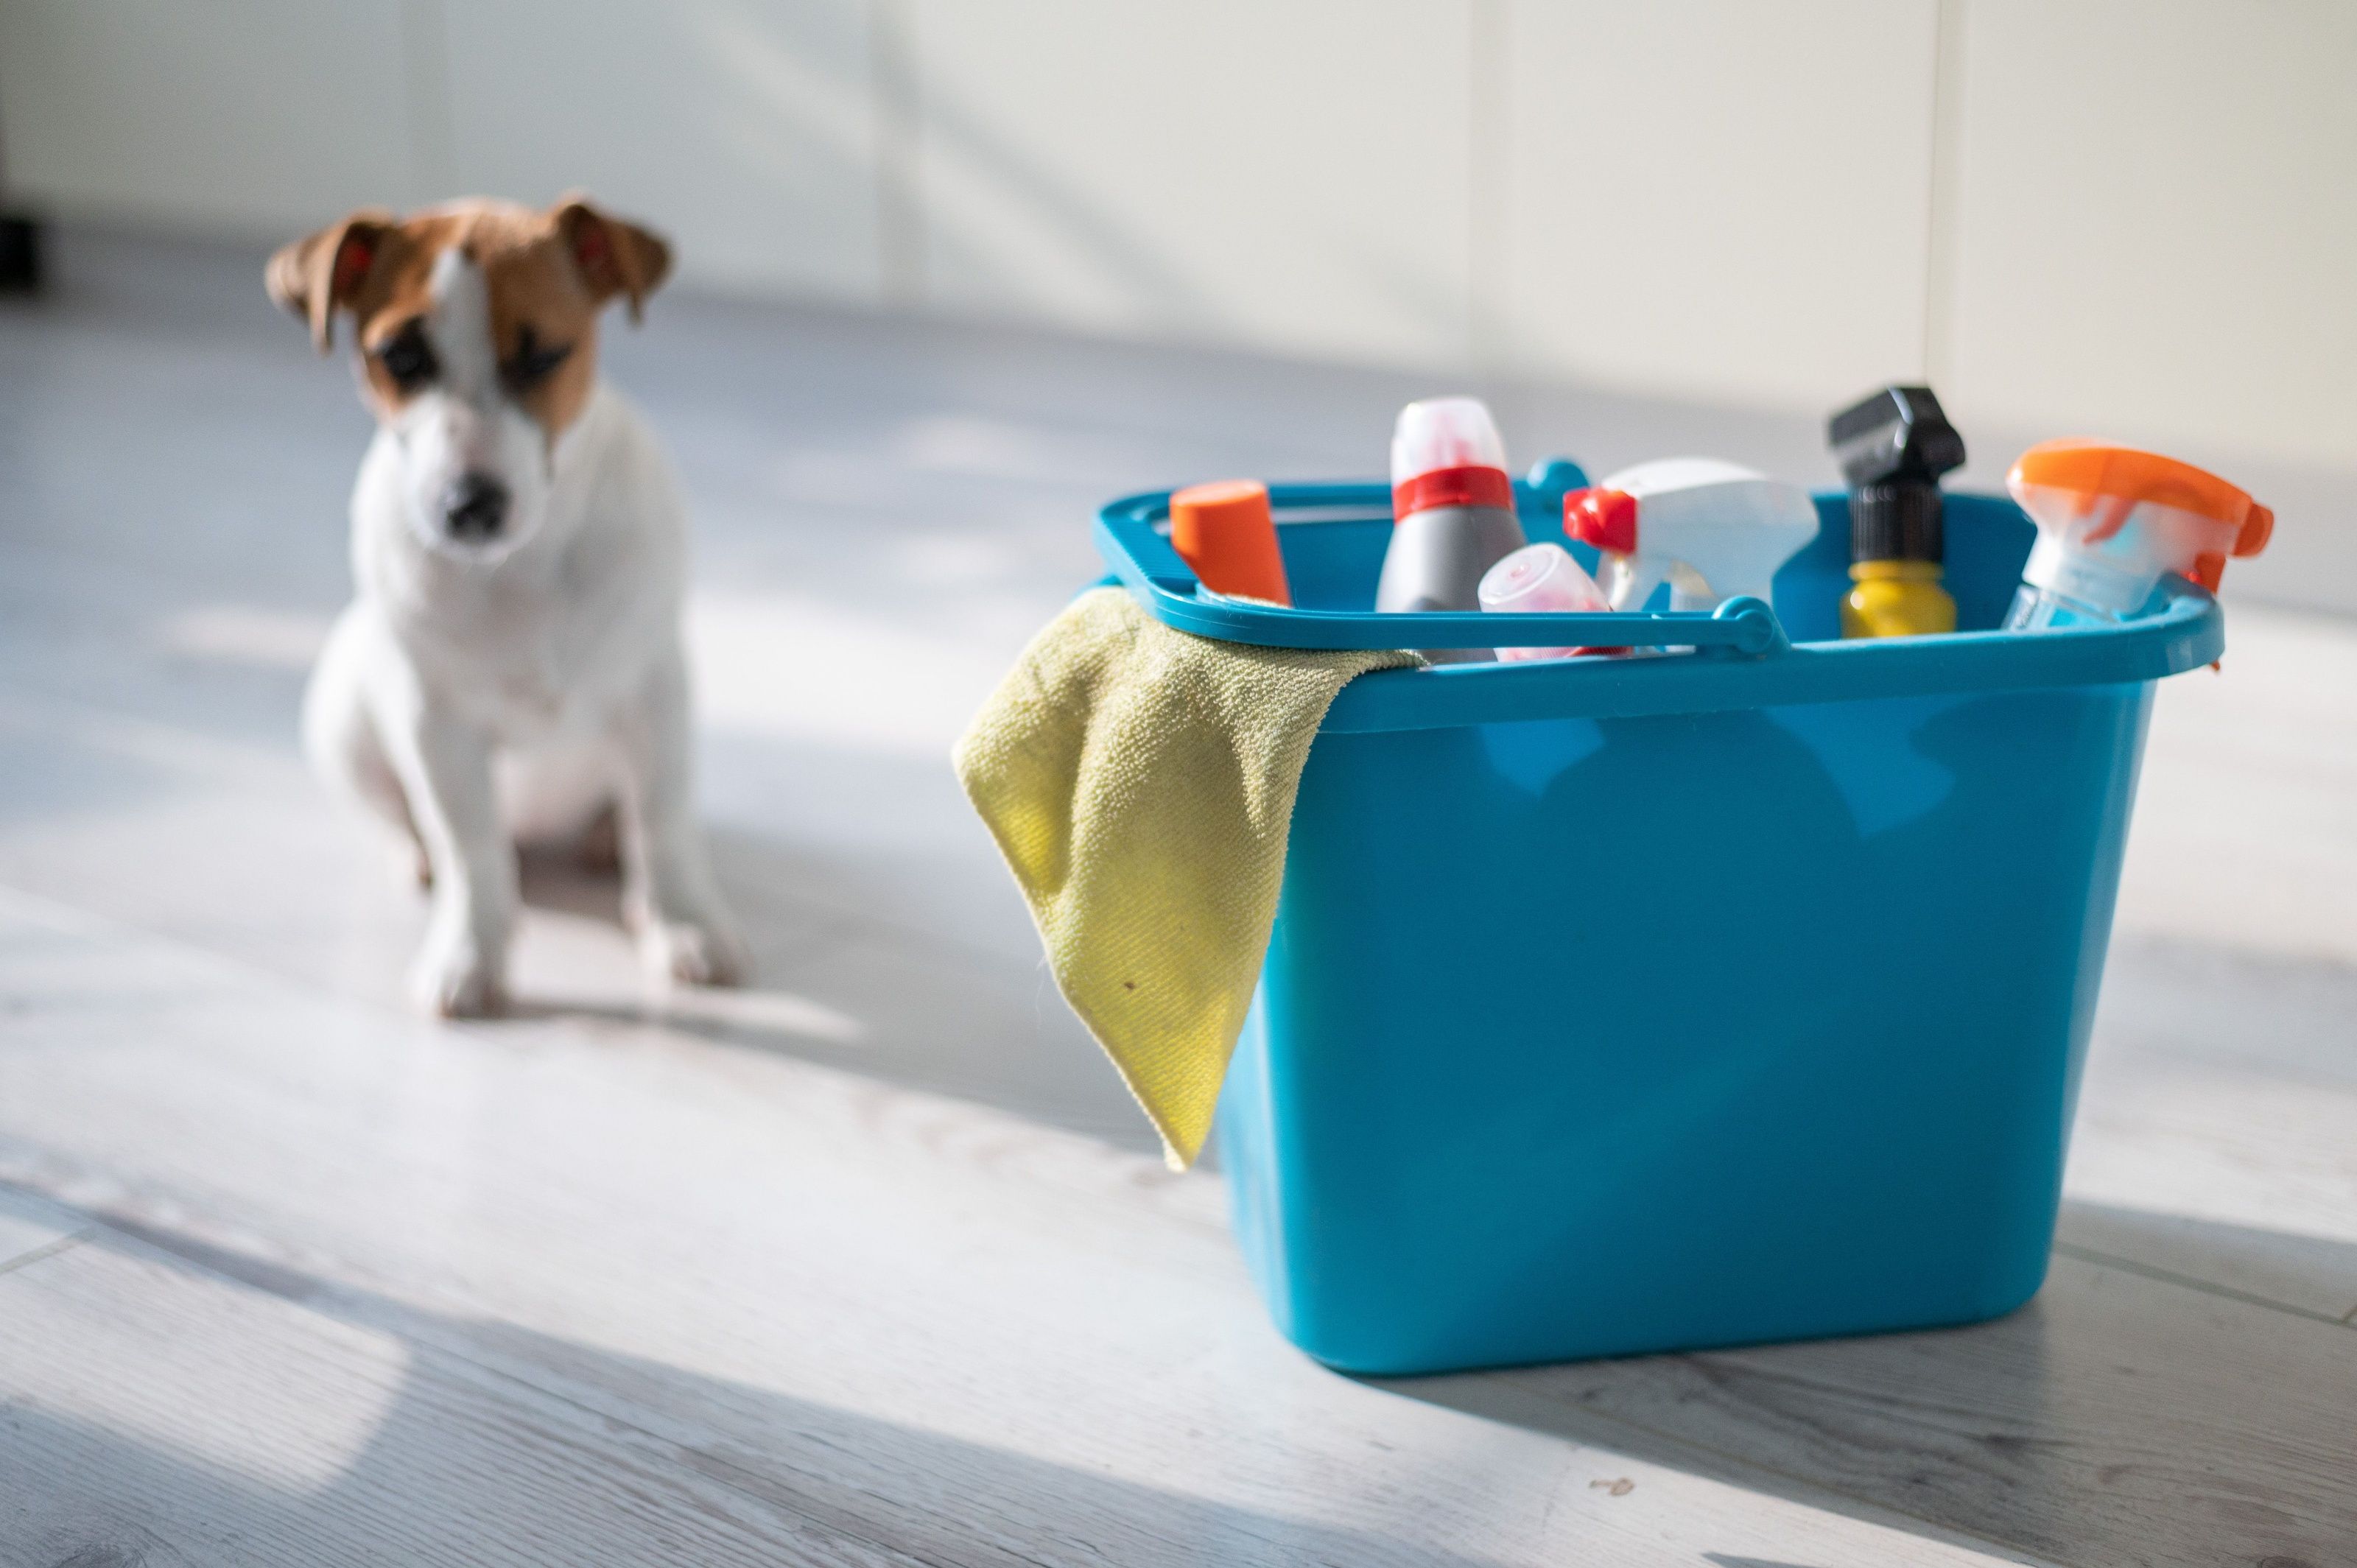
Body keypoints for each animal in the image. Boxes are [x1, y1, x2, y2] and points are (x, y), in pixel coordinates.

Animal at [268, 195, 749, 1013]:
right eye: (401, 358)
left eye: (545, 356)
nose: (470, 507)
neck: (520, 564)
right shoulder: (436, 723)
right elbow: (471, 848)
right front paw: (470, 952)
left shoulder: (655, 693)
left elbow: (662, 822)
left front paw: (682, 923)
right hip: (345, 723)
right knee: (420, 825)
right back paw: (416, 857)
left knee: (630, 815)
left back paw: (610, 851)